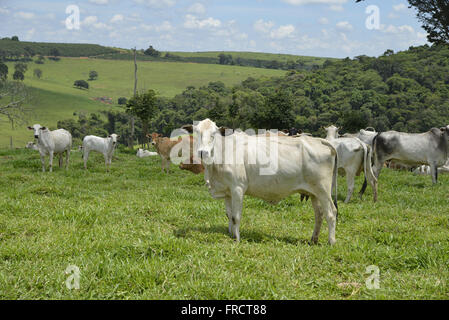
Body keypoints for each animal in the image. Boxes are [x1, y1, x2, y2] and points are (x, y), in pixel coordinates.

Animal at [180, 119, 338, 246]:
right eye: (196, 132)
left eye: (214, 134)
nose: (203, 152)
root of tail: (320, 141)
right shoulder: (227, 191)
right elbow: (229, 215)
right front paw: (231, 235)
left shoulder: (237, 188)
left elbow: (236, 217)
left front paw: (237, 240)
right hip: (314, 192)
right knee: (319, 214)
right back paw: (314, 239)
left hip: (324, 190)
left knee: (331, 213)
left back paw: (331, 241)